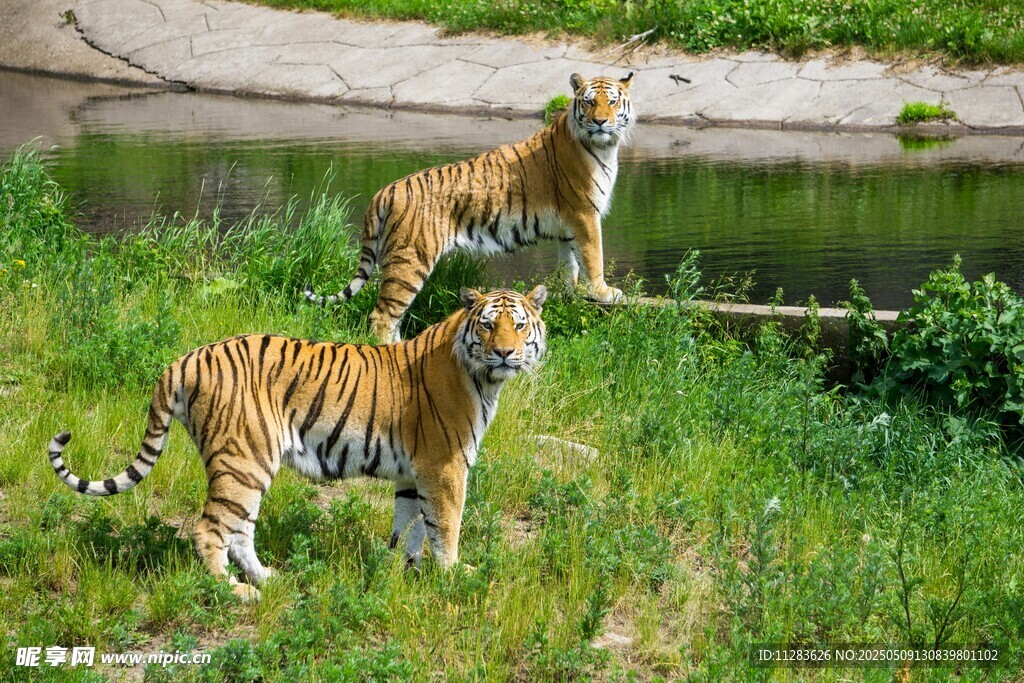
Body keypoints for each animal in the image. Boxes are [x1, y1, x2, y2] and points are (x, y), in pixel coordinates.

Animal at [46, 286, 547, 600]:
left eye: (520, 326)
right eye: (489, 326)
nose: (505, 352)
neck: (484, 379)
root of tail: (185, 358)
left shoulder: (413, 473)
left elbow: (410, 528)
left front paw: (405, 573)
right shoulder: (445, 467)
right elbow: (446, 525)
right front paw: (454, 576)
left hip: (246, 465)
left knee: (239, 531)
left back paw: (268, 578)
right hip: (244, 459)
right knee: (210, 530)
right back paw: (235, 592)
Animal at [305, 72, 636, 342]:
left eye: (612, 101)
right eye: (590, 102)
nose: (600, 122)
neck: (604, 147)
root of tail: (386, 190)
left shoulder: (569, 225)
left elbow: (571, 262)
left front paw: (572, 292)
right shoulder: (585, 214)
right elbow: (593, 256)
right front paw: (604, 292)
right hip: (409, 259)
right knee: (383, 315)